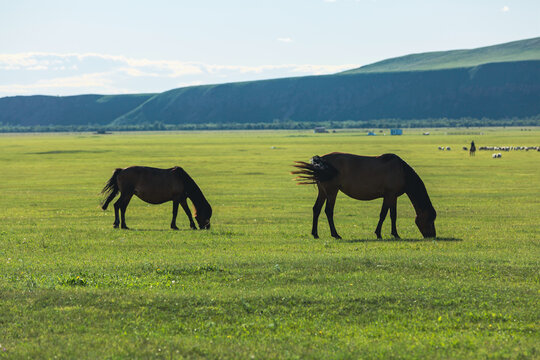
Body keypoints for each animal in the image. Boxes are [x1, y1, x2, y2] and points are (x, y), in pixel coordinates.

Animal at [294, 152, 436, 239]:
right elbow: (387, 215)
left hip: (323, 192)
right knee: (328, 211)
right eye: (430, 219)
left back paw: (315, 234)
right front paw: (385, 234)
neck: (402, 171)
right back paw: (335, 234)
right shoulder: (390, 195)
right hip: (332, 191)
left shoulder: (391, 196)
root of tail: (321, 161)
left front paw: (388, 233)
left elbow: (389, 215)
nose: (432, 235)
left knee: (316, 209)